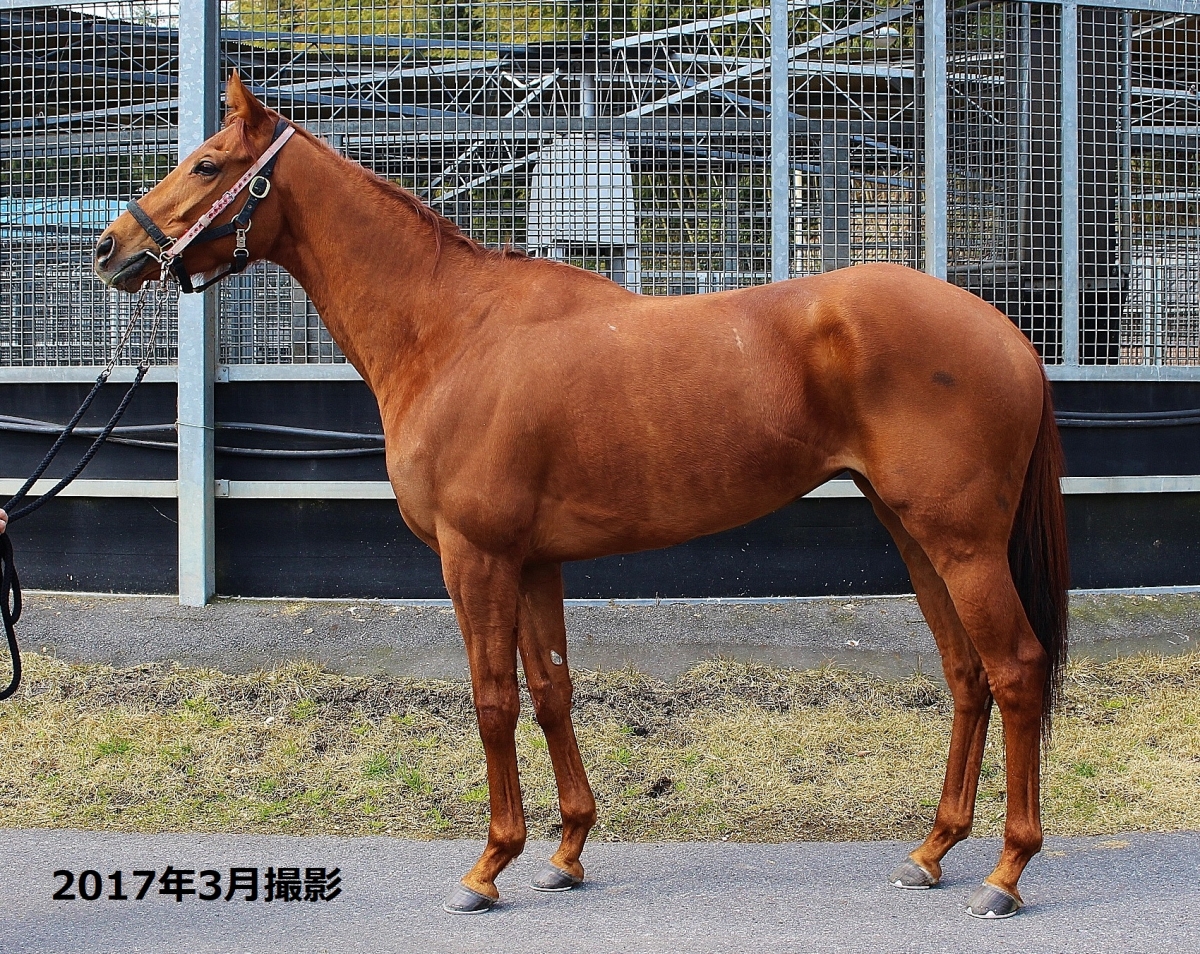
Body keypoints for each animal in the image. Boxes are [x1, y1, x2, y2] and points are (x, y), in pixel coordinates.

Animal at [95, 73, 1069, 919]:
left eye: (207, 165)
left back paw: (1006, 873)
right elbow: (553, 690)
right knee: (966, 674)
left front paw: (488, 867)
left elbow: (493, 700)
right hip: (912, 533)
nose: (113, 248)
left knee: (1017, 669)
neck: (452, 330)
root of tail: (1008, 334)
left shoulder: (476, 558)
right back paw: (933, 851)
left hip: (961, 542)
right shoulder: (535, 563)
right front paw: (564, 853)